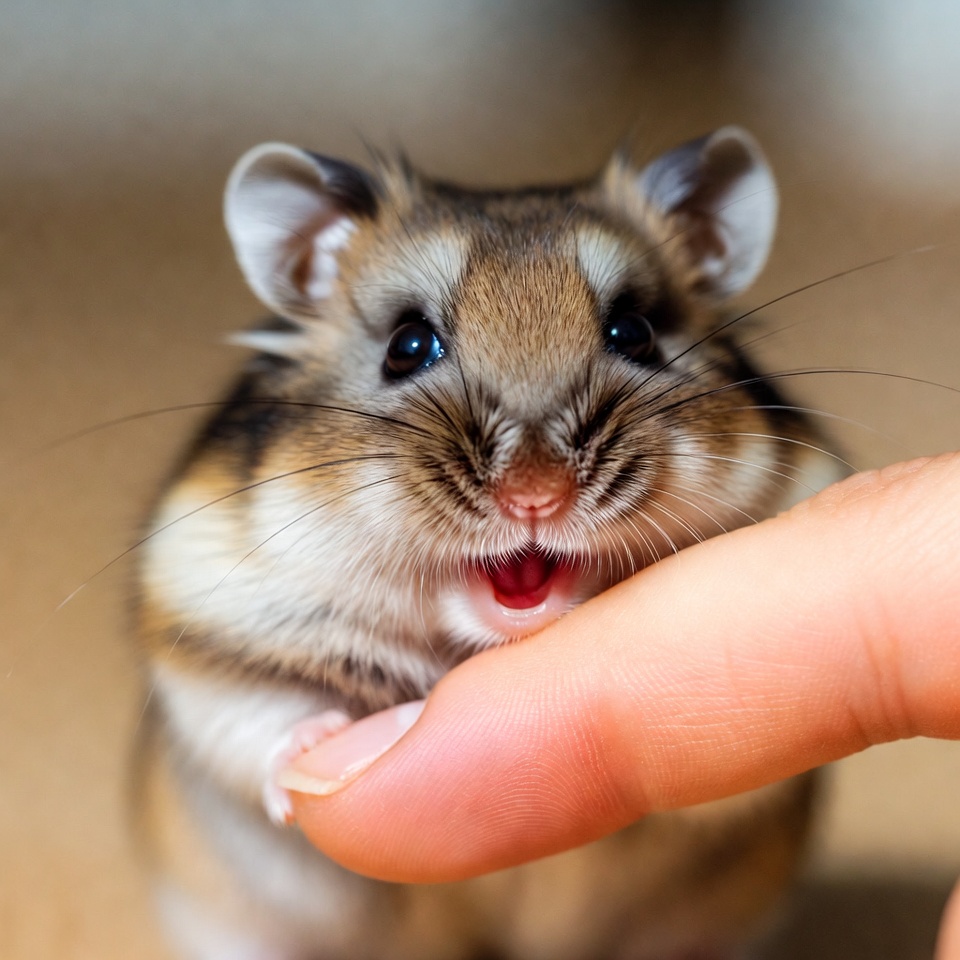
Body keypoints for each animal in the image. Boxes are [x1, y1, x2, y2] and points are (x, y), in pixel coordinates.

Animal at [132, 127, 841, 960]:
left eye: (634, 333)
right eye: (408, 345)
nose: (535, 495)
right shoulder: (208, 618)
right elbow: (265, 719)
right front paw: (323, 753)